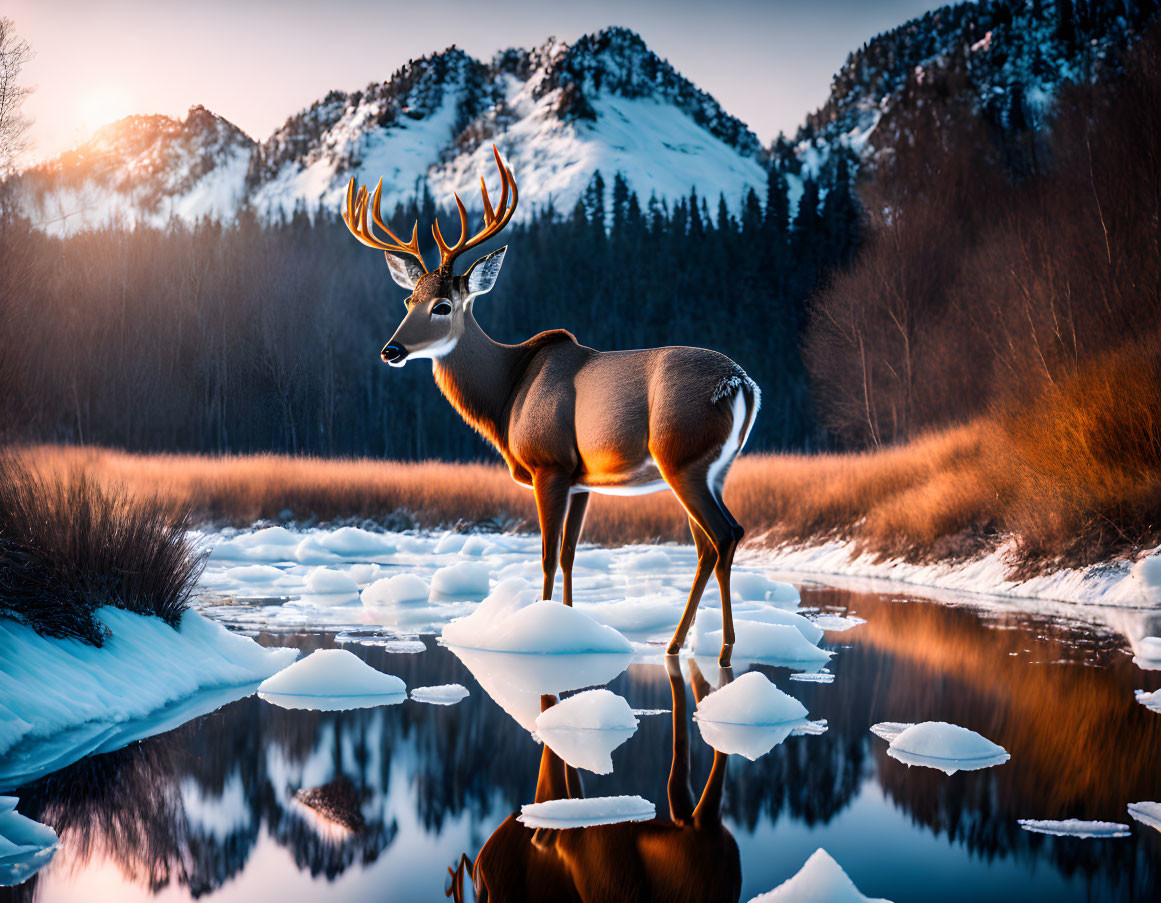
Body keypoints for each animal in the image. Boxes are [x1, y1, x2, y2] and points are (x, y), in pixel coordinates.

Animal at [341, 147, 761, 663]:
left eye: (442, 305)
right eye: (407, 299)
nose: (391, 351)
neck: (508, 393)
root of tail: (741, 383)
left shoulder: (550, 465)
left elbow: (544, 555)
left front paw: (537, 634)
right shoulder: (582, 480)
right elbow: (569, 554)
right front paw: (571, 626)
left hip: (681, 457)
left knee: (722, 535)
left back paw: (723, 651)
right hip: (713, 467)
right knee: (712, 542)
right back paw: (678, 644)